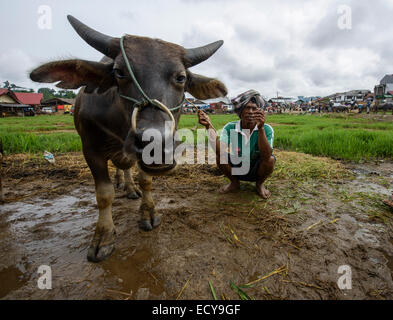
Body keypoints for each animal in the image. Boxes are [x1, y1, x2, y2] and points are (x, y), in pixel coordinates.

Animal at [30, 15, 227, 262]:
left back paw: (131, 188)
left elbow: (146, 181)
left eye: (181, 77)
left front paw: (148, 212)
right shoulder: (90, 150)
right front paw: (103, 237)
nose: (157, 144)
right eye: (120, 72)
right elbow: (104, 194)